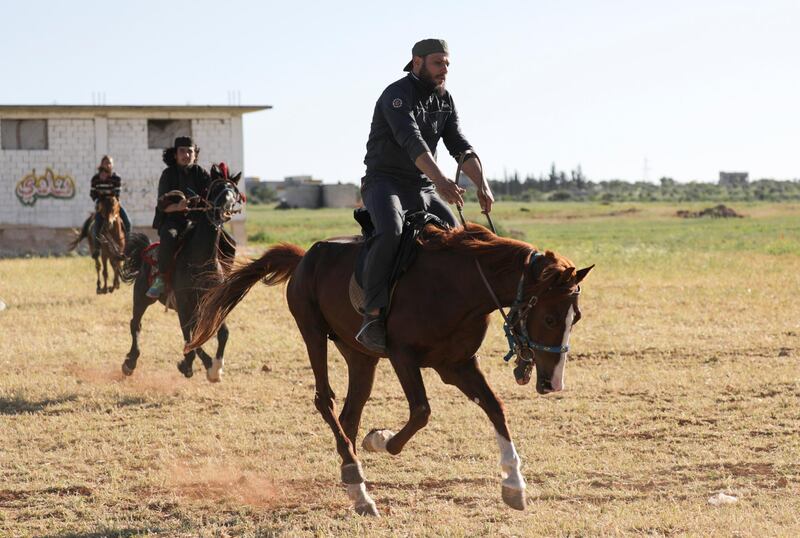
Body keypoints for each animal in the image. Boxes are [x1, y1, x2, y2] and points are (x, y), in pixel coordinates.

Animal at [120, 163, 242, 382]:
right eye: (215, 188)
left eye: (234, 191)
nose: (224, 209)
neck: (201, 261)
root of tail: (146, 250)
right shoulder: (184, 305)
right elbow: (190, 339)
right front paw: (192, 366)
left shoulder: (212, 305)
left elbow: (222, 334)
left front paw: (215, 368)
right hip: (142, 297)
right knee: (136, 324)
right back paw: (130, 363)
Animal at [186, 223, 588, 516]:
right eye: (550, 318)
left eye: (577, 316)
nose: (553, 383)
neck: (457, 286)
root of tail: (305, 257)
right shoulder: (403, 357)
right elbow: (421, 411)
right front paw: (379, 439)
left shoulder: (457, 365)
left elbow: (495, 409)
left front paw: (514, 485)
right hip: (312, 332)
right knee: (325, 401)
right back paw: (358, 480)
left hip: (360, 356)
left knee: (349, 415)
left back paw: (354, 484)